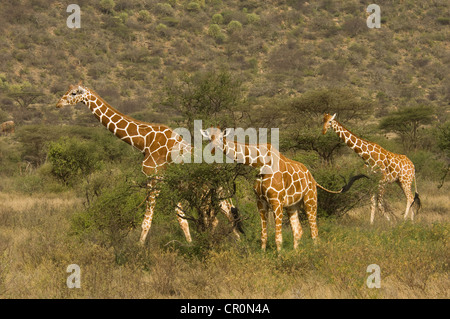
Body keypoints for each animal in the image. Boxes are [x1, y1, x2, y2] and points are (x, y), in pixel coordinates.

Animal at [56, 83, 243, 245]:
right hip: (209, 190)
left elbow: (146, 222)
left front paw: (138, 250)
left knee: (223, 216)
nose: (58, 104)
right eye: (67, 90)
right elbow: (182, 221)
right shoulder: (168, 184)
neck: (144, 142)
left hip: (208, 189)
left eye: (74, 93)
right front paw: (190, 246)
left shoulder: (153, 180)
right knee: (223, 215)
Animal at [200, 127, 366, 252]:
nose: (211, 151)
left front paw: (280, 258)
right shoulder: (261, 202)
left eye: (220, 138)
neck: (260, 162)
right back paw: (296, 254)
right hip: (292, 205)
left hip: (310, 200)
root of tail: (313, 179)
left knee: (314, 231)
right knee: (298, 231)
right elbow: (264, 236)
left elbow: (278, 237)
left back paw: (314, 253)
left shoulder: (276, 201)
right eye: (208, 138)